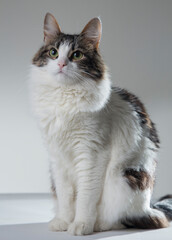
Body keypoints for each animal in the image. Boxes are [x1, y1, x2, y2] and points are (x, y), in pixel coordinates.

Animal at [29, 12, 172, 234]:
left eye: (76, 55)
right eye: (53, 53)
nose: (61, 64)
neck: (64, 98)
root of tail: (150, 207)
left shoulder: (92, 154)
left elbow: (86, 197)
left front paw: (81, 225)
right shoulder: (57, 158)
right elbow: (65, 196)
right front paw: (63, 221)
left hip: (124, 178)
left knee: (124, 219)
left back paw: (100, 224)